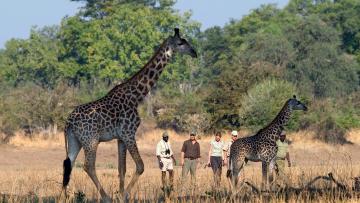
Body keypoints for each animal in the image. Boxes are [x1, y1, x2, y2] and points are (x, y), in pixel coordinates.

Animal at [62, 28, 197, 201]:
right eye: (181, 43)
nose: (194, 52)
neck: (136, 96)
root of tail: (69, 122)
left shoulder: (120, 137)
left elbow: (122, 168)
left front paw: (121, 194)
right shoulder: (128, 133)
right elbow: (140, 166)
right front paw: (122, 196)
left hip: (75, 140)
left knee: (68, 163)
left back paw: (62, 197)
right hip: (91, 140)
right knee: (88, 166)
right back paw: (106, 198)